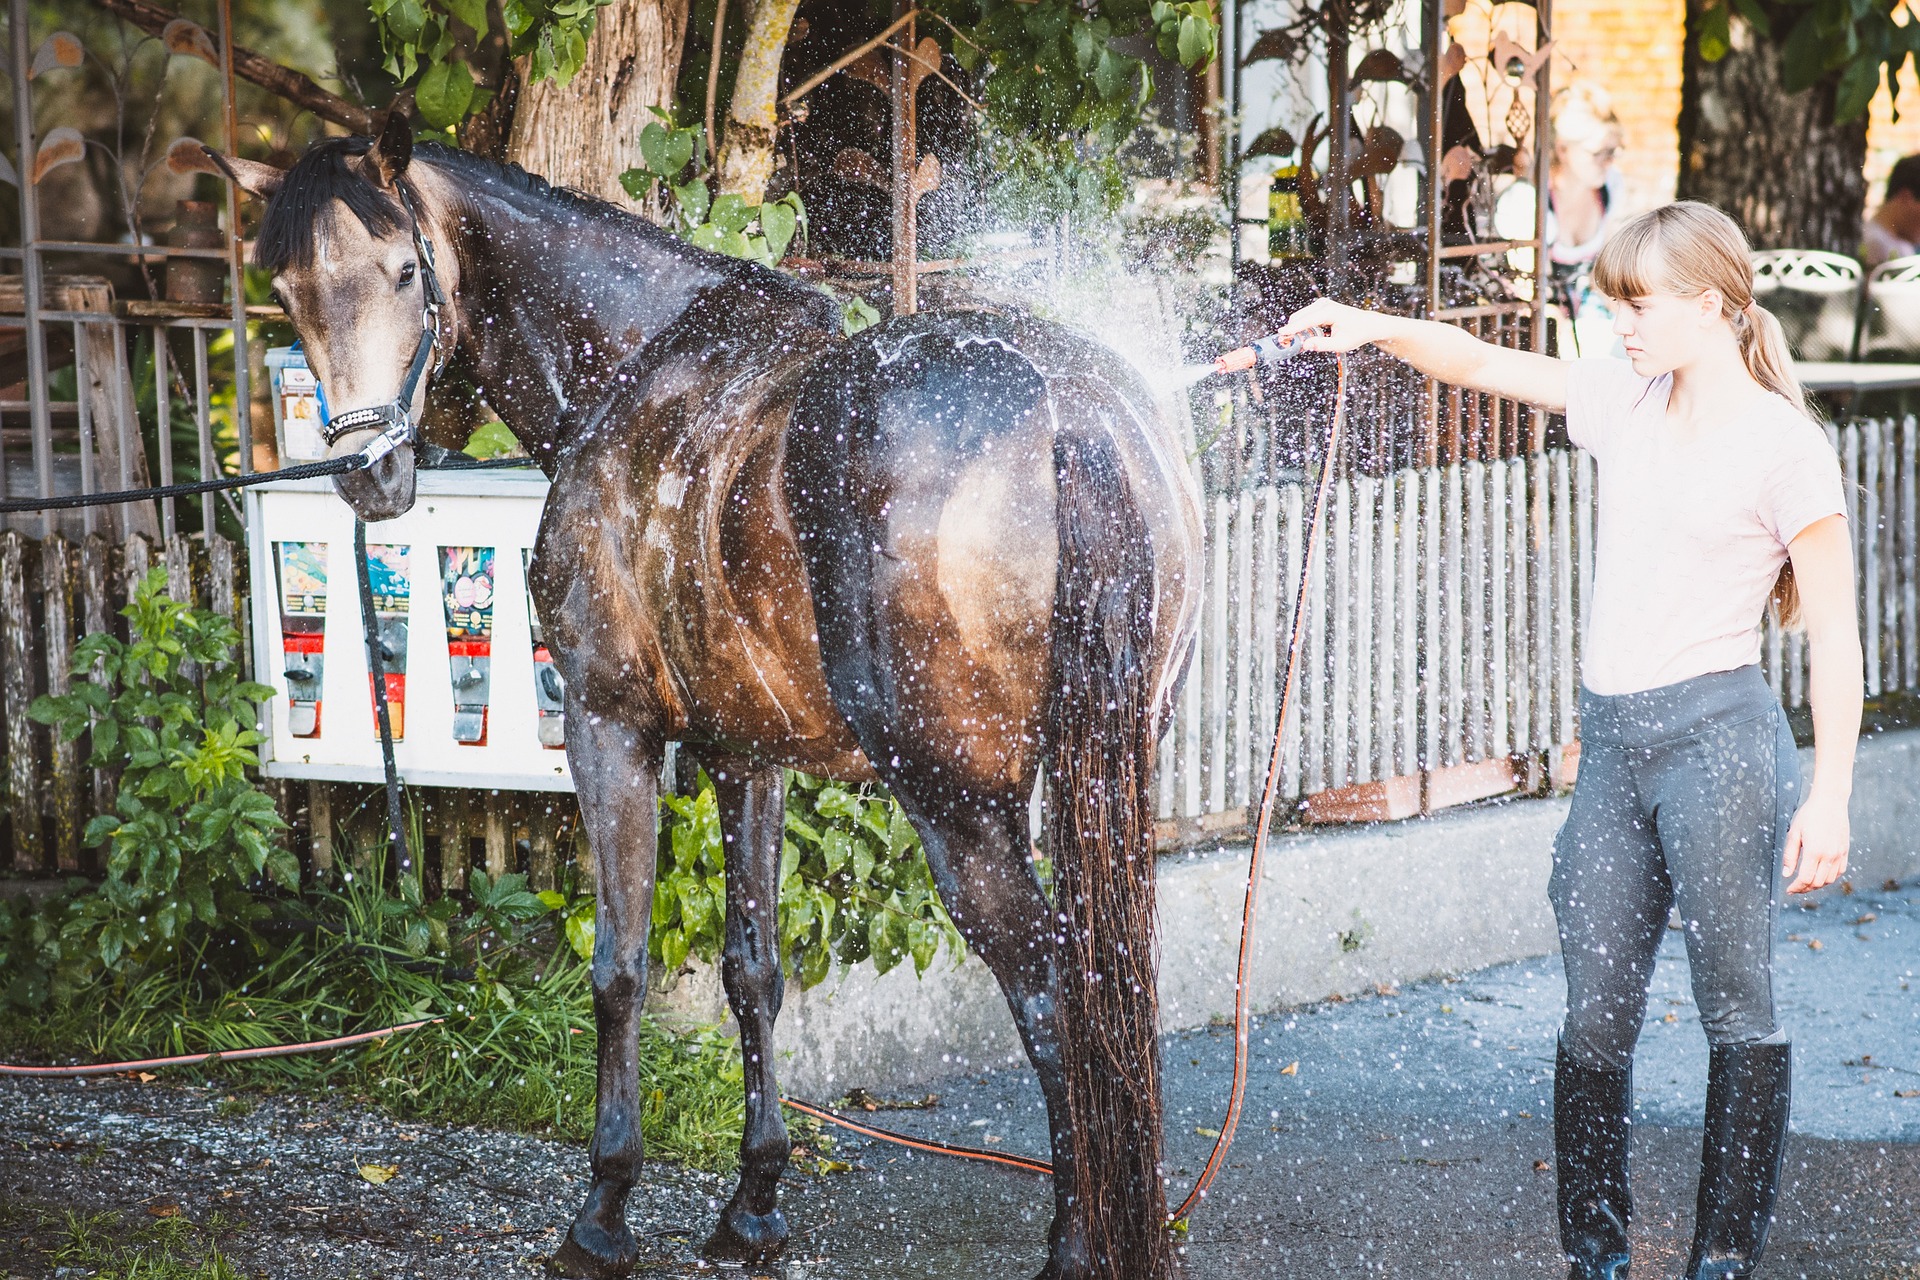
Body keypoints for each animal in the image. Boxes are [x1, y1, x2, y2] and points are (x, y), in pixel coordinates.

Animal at [216, 112, 1203, 1280]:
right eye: (287, 290)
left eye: (404, 271)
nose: (369, 473)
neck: (634, 372)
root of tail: (1071, 411)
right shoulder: (749, 754)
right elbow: (752, 970)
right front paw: (755, 1202)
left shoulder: (609, 728)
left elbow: (619, 968)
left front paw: (603, 1209)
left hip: (959, 803)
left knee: (1055, 990)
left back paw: (1075, 1244)